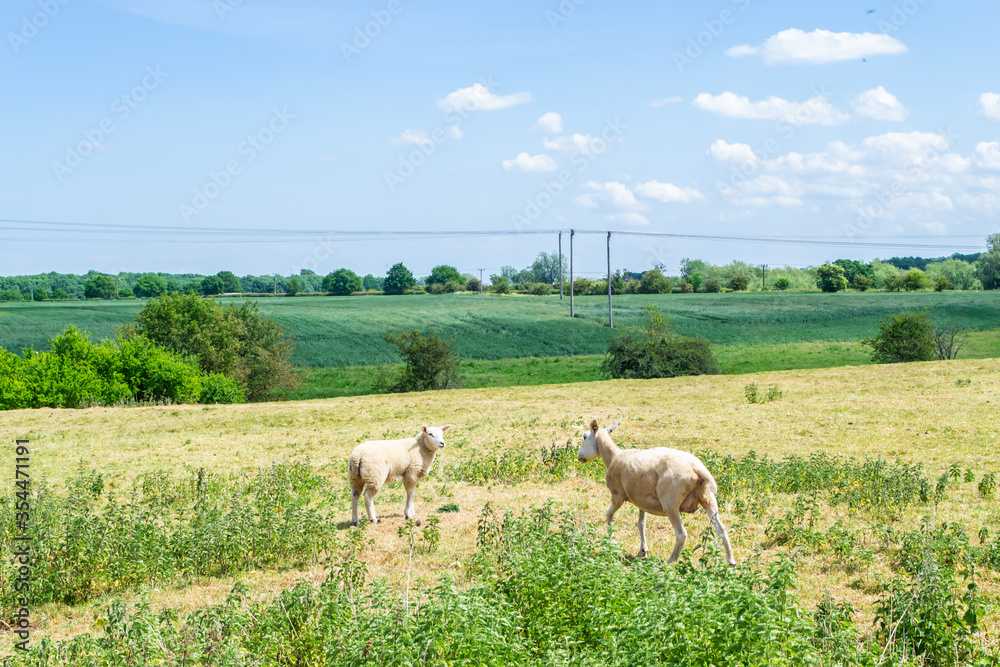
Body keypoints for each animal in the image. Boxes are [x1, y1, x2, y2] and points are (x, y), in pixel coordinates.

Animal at [577, 419, 735, 565]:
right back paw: (731, 562)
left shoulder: (617, 495)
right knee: (721, 529)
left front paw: (612, 541)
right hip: (707, 497)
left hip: (670, 502)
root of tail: (697, 468)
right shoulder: (641, 500)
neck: (613, 457)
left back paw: (671, 561)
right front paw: (643, 550)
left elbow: (609, 515)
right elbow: (641, 524)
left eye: (584, 436)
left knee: (681, 533)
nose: (579, 456)